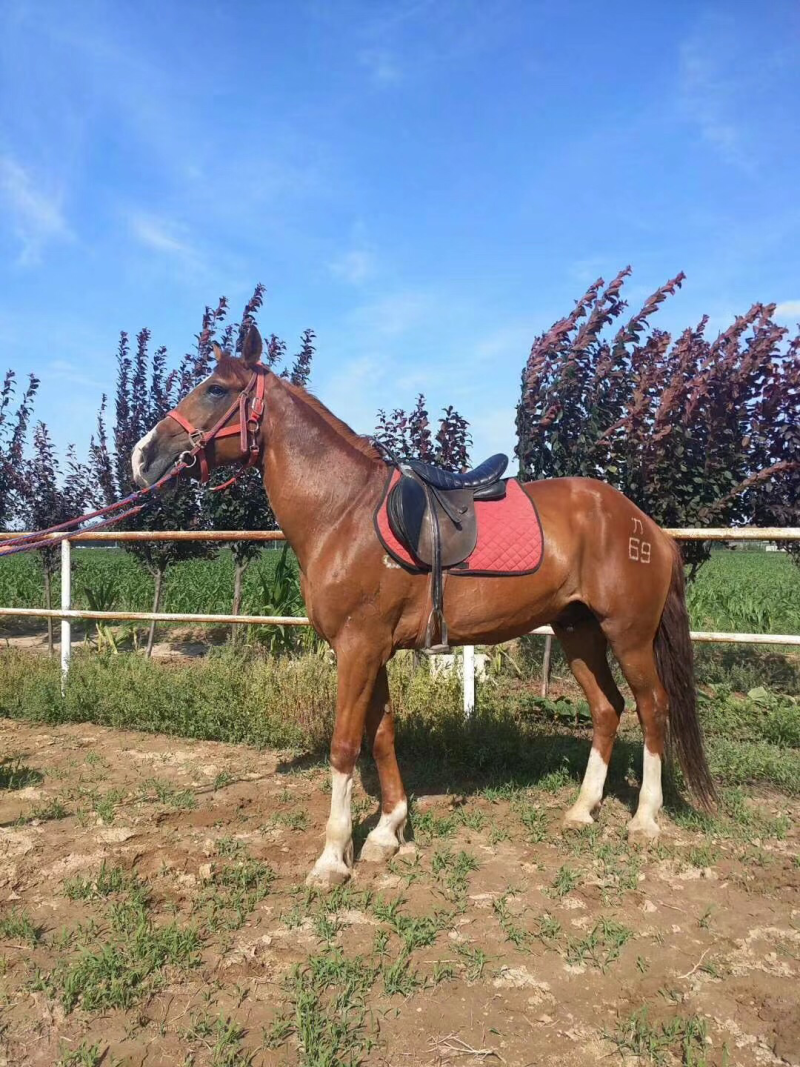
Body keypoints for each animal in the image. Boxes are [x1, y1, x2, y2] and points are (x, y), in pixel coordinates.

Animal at [132, 325, 716, 888]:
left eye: (216, 389)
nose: (142, 457)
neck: (343, 512)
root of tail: (649, 528)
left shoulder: (358, 648)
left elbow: (345, 744)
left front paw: (332, 858)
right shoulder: (372, 650)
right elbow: (383, 734)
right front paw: (387, 832)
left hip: (628, 635)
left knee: (652, 707)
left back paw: (644, 819)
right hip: (578, 632)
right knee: (607, 708)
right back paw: (581, 810)